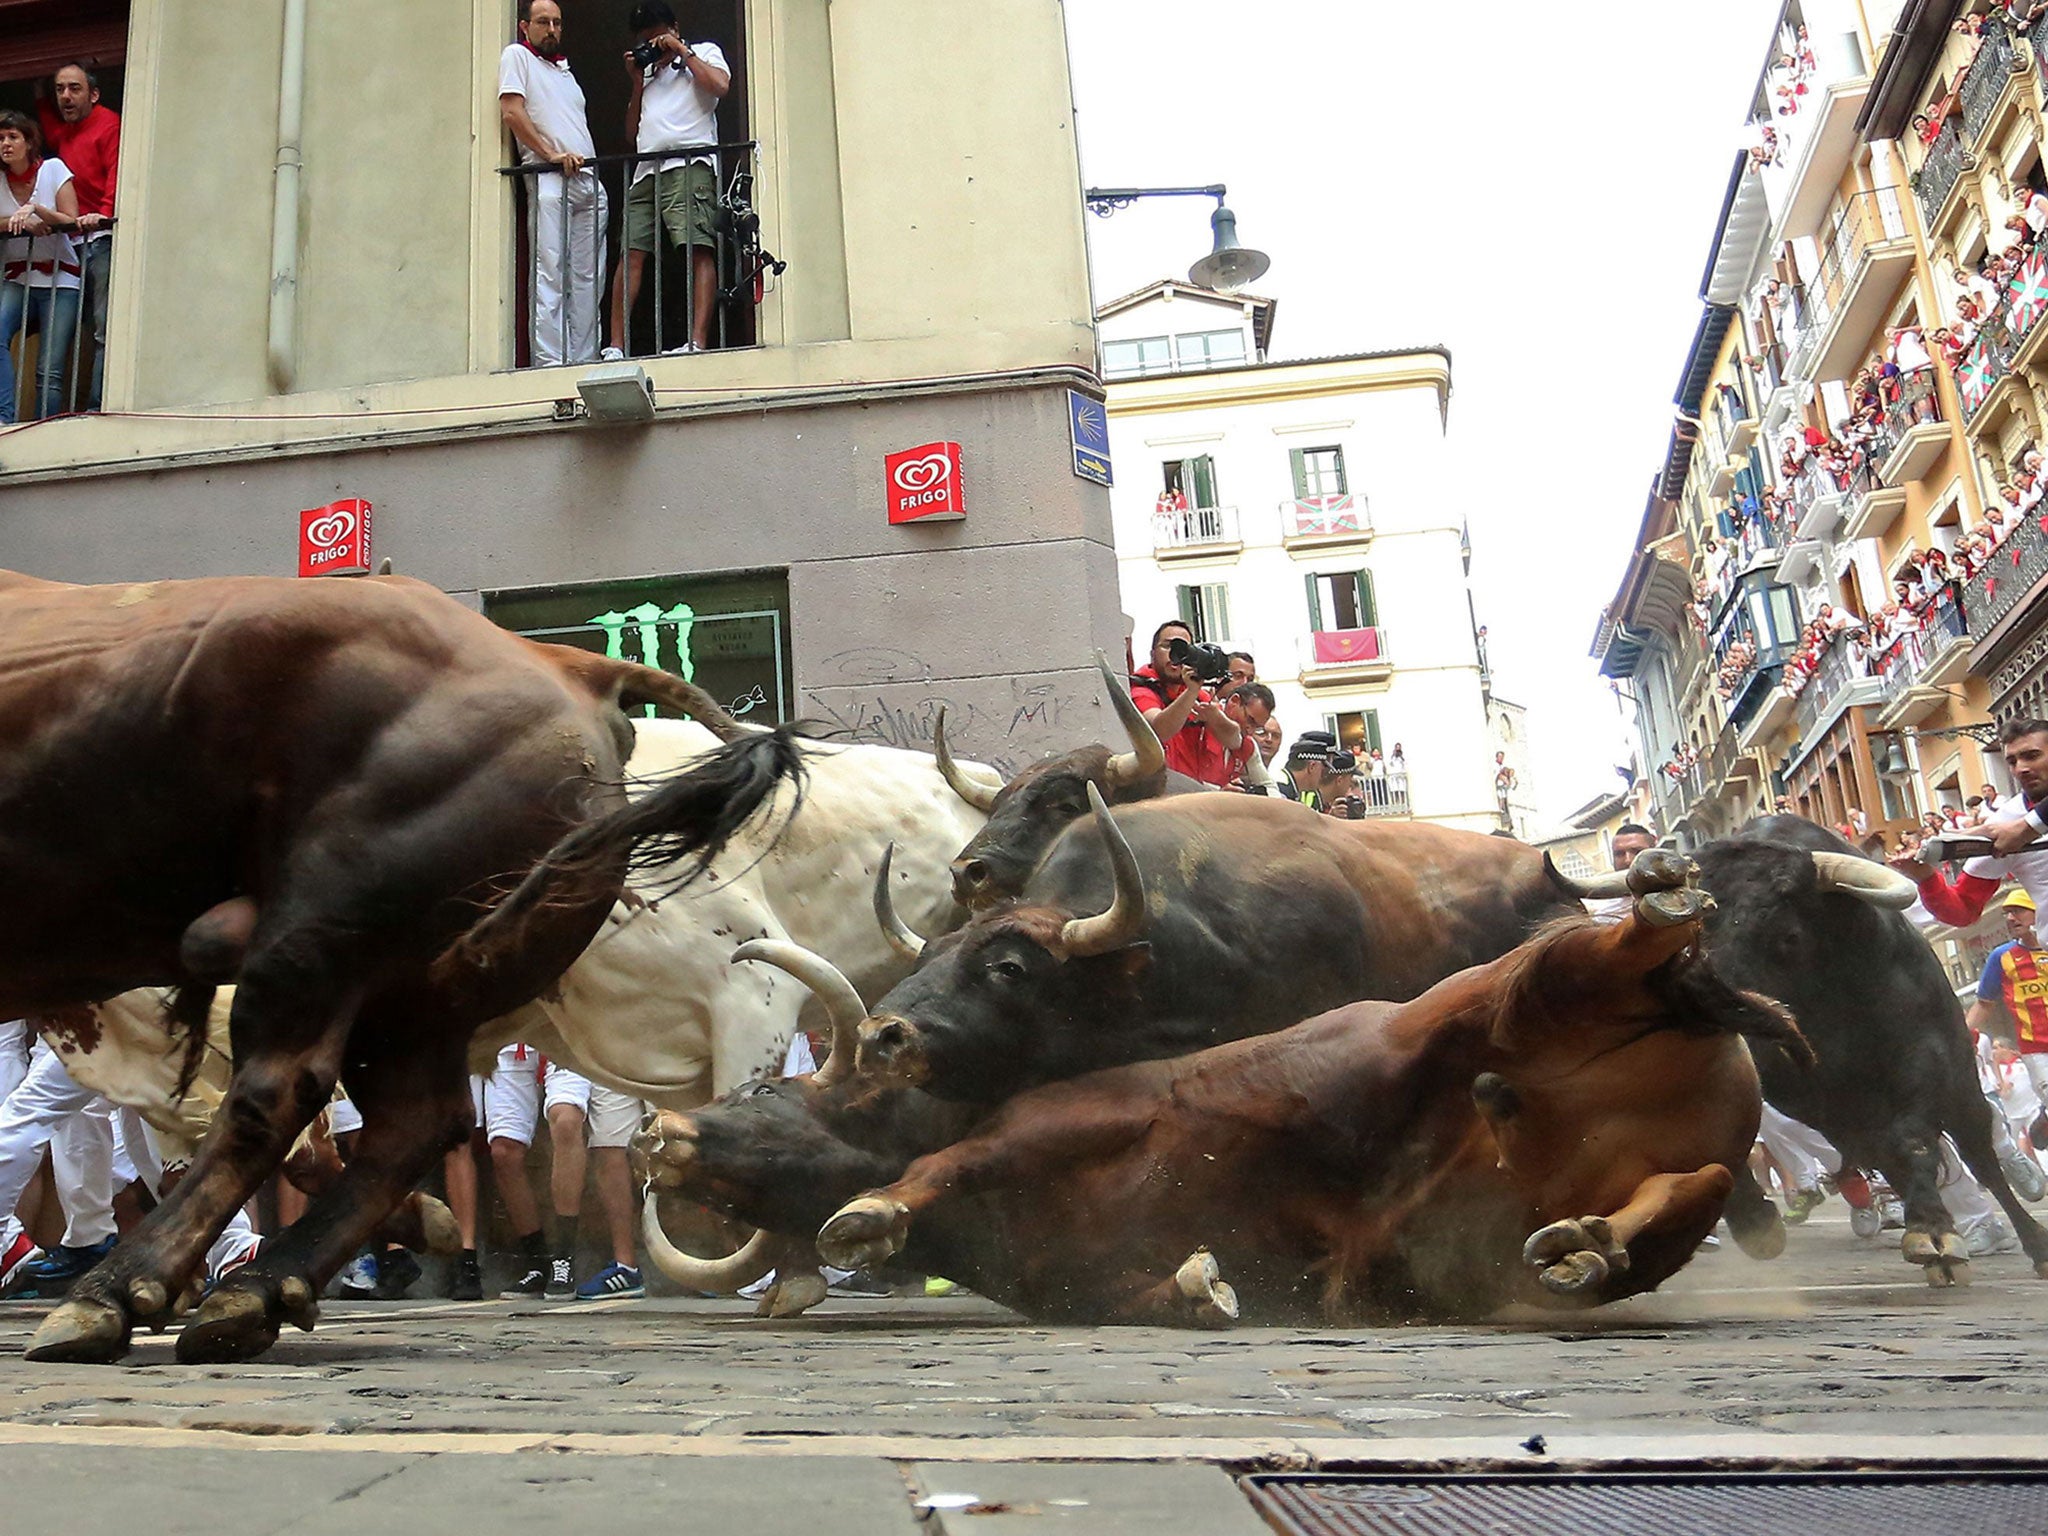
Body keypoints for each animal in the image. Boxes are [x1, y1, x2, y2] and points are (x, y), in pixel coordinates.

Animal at [0, 573, 798, 1368]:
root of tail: (568, 666)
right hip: (416, 994)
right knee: (410, 1124)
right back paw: (263, 1287)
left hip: (320, 934)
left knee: (275, 1098)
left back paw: (121, 1292)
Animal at [806, 856, 1802, 1327]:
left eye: (1007, 966)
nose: (882, 1036)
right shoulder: (1080, 1277)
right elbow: (1160, 1290)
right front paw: (1202, 1287)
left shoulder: (1079, 1117)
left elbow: (949, 1158)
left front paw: (865, 1217)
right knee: (1695, 1185)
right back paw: (1587, 1245)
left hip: (1478, 1004)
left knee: (1603, 957)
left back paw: (1662, 896)